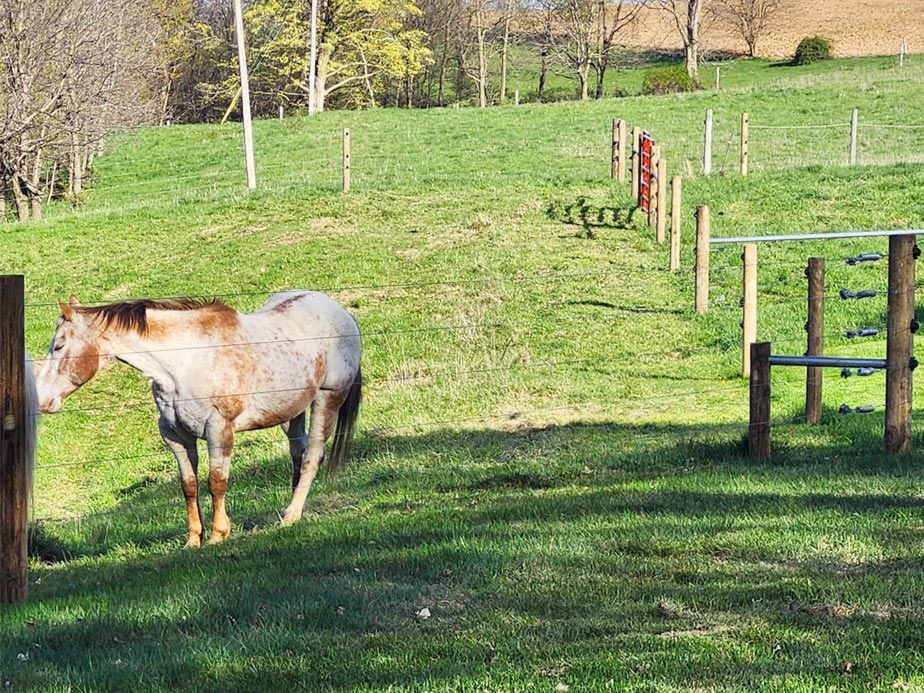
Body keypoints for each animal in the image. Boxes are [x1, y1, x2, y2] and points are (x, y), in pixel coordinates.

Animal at [35, 290, 360, 544]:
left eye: (59, 345)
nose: (42, 399)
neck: (184, 361)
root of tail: (342, 313)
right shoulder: (175, 436)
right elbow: (189, 485)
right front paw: (193, 539)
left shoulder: (219, 430)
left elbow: (216, 481)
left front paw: (218, 534)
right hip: (293, 411)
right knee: (298, 452)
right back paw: (290, 508)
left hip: (327, 399)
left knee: (312, 457)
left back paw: (292, 515)